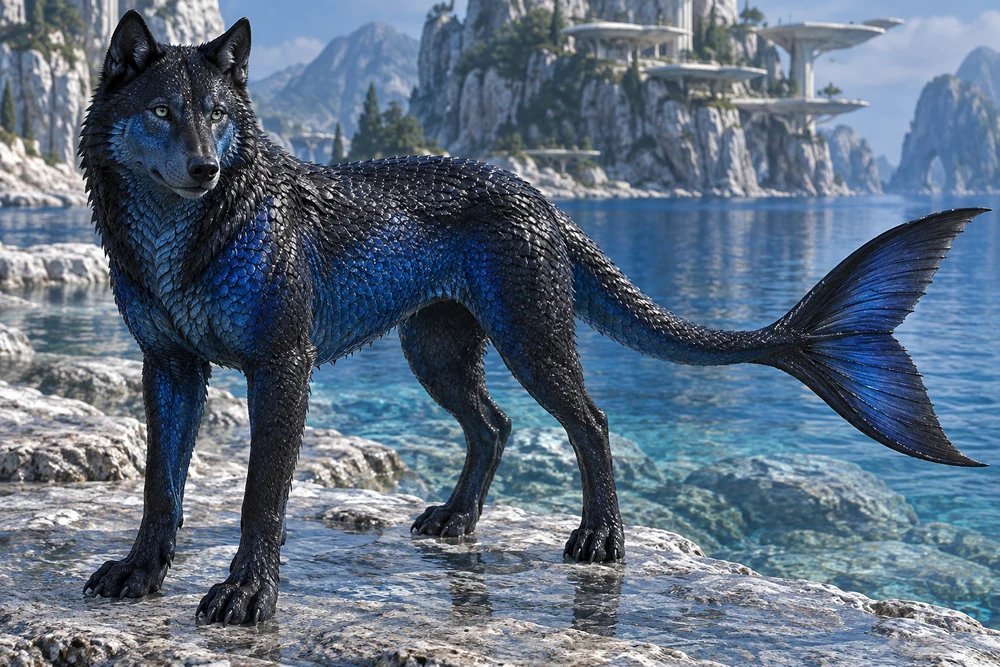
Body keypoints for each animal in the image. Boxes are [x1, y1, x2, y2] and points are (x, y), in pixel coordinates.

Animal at [79, 11, 986, 625]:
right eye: (162, 112)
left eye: (218, 115)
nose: (204, 167)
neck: (184, 238)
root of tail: (544, 200)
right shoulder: (170, 368)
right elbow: (161, 485)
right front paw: (138, 573)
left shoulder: (282, 367)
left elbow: (259, 497)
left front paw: (245, 594)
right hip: (438, 352)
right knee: (496, 425)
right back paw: (455, 522)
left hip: (530, 339)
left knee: (590, 420)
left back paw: (600, 541)